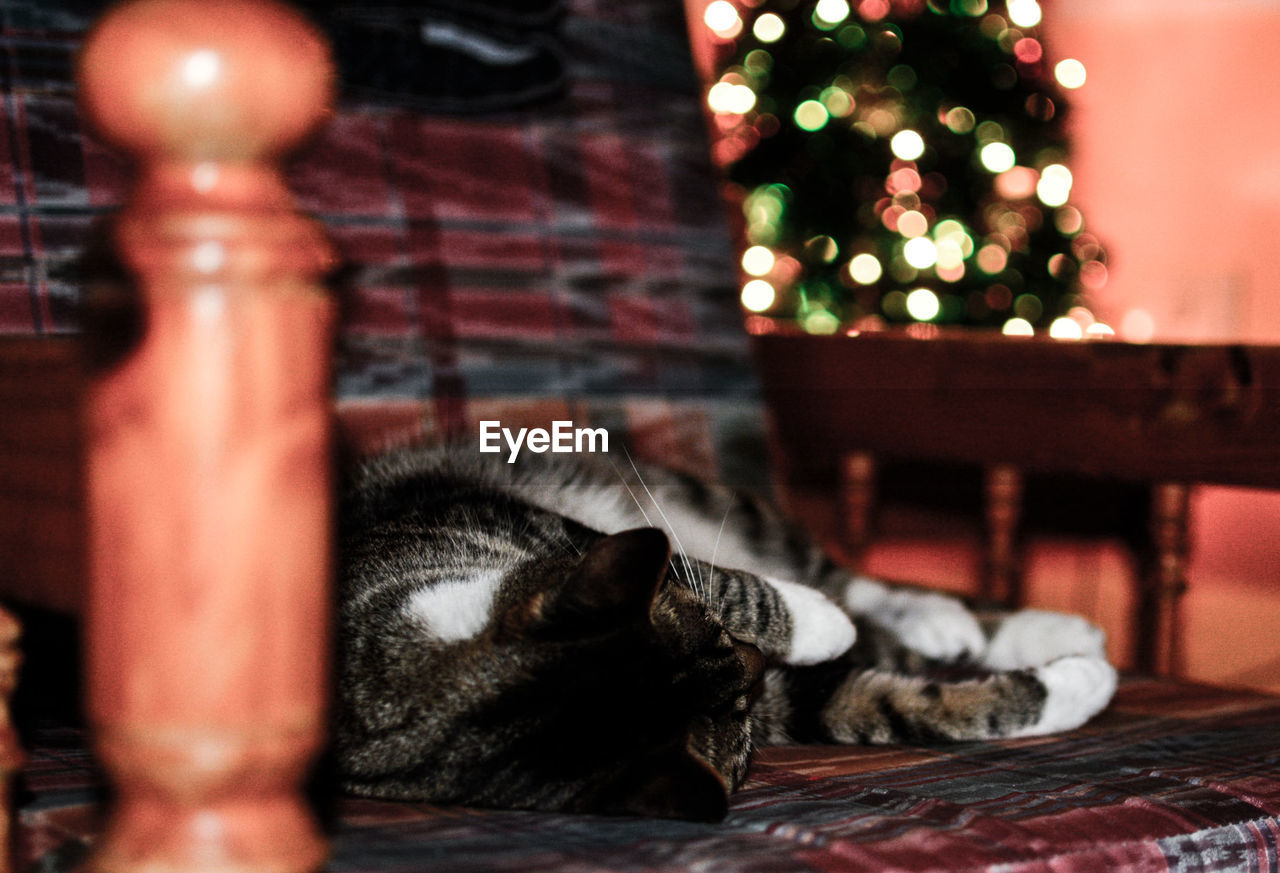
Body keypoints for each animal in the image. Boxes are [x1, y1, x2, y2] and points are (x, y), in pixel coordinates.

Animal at [335, 445, 1116, 819]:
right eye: (739, 711)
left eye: (708, 624)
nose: (757, 665)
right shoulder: (785, 707)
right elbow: (897, 705)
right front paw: (1078, 685)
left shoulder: (568, 536)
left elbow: (726, 579)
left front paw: (819, 623)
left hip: (722, 506)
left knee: (844, 577)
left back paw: (994, 619)